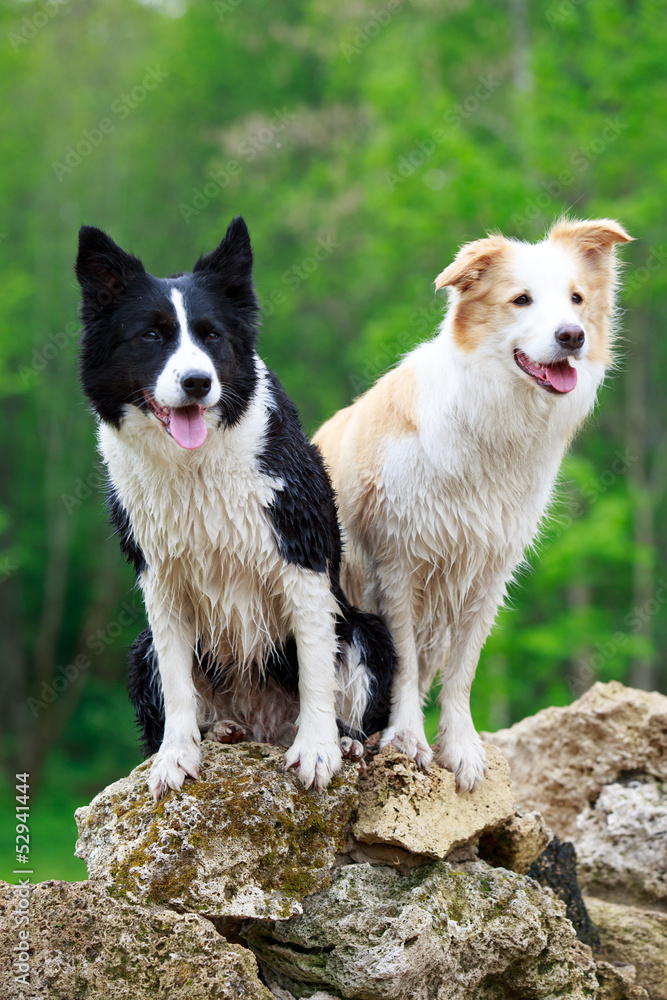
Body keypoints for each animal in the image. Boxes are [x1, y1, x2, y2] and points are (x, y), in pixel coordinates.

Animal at [75, 217, 394, 796]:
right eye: (151, 335)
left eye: (211, 335)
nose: (198, 382)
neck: (194, 466)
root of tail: (263, 726)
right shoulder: (160, 577)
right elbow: (177, 683)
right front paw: (176, 756)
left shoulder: (302, 559)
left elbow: (315, 668)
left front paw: (317, 751)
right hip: (140, 650)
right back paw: (221, 730)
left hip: (366, 630)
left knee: (347, 698)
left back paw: (346, 741)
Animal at [314, 217, 632, 788]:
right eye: (521, 300)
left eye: (576, 299)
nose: (572, 336)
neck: (493, 420)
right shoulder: (398, 565)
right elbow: (405, 662)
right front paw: (407, 739)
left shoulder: (488, 570)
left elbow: (463, 669)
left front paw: (460, 747)